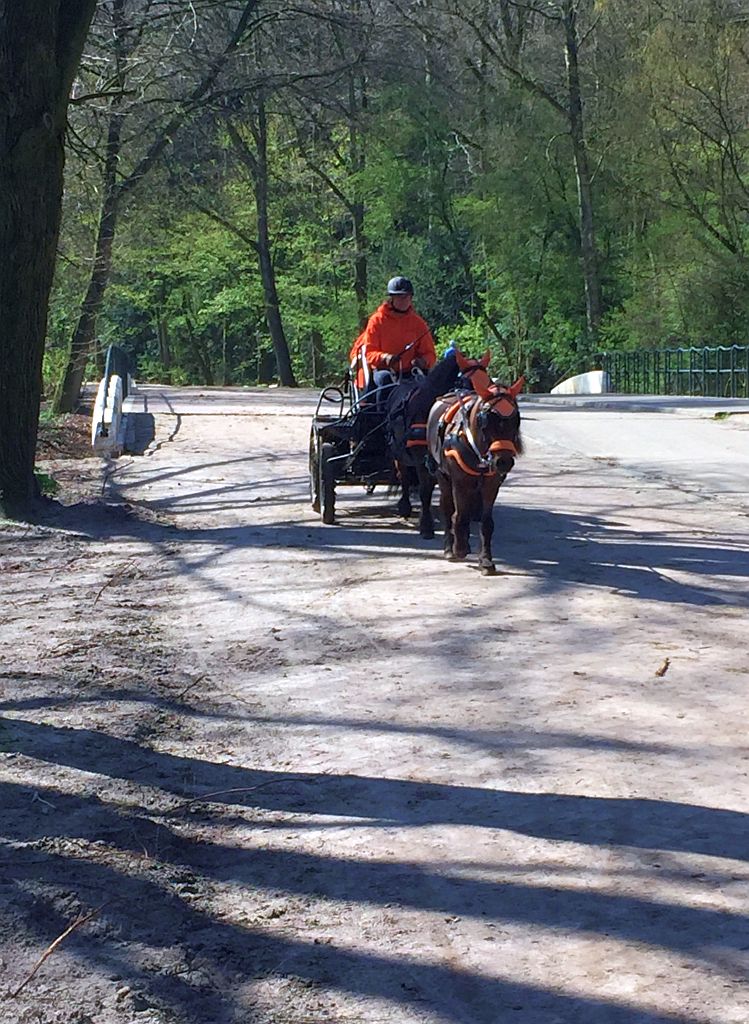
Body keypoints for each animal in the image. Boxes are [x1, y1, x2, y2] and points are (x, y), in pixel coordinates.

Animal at [424, 350, 524, 577]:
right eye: (486, 420)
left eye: (516, 419)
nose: (503, 461)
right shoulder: (459, 481)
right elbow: (458, 514)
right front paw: (459, 547)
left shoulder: (491, 483)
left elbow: (486, 522)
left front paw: (485, 560)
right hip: (443, 476)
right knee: (446, 507)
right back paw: (450, 547)